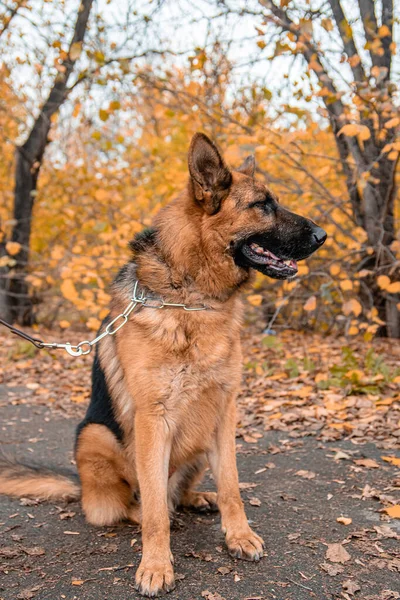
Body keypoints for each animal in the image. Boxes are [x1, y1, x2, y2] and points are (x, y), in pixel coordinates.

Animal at [0, 134, 324, 596]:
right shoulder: (154, 420)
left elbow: (232, 486)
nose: (323, 234)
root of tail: (80, 487)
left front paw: (238, 535)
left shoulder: (224, 412)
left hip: (198, 444)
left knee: (179, 493)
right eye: (262, 205)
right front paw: (156, 565)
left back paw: (197, 499)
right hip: (96, 436)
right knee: (130, 504)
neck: (193, 297)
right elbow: (154, 509)